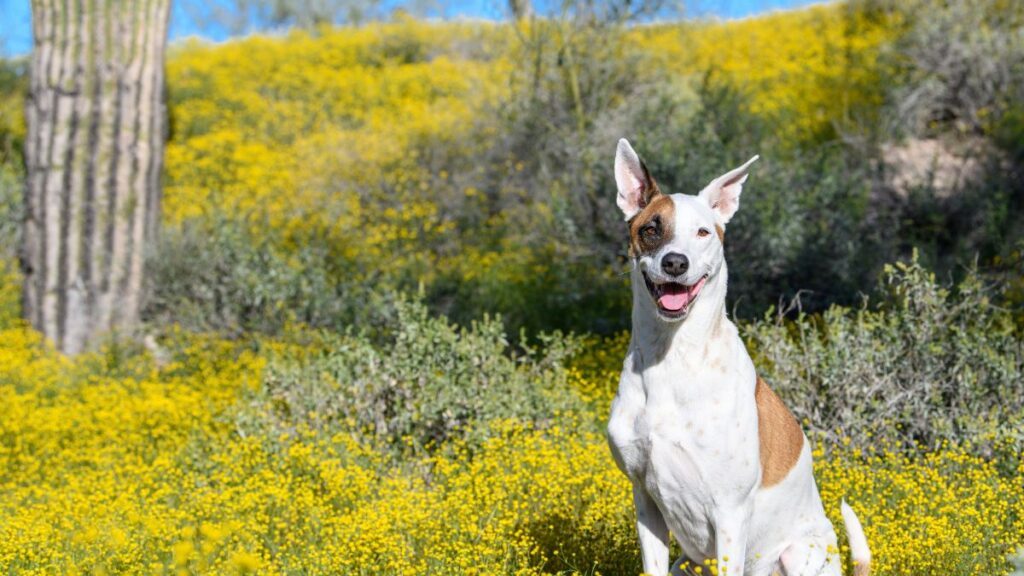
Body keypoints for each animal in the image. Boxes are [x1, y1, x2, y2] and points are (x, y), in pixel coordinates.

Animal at [606, 139, 872, 573]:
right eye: (650, 229)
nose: (674, 262)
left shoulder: (730, 511)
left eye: (702, 232)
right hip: (686, 562)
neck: (673, 358)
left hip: (797, 553)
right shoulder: (645, 502)